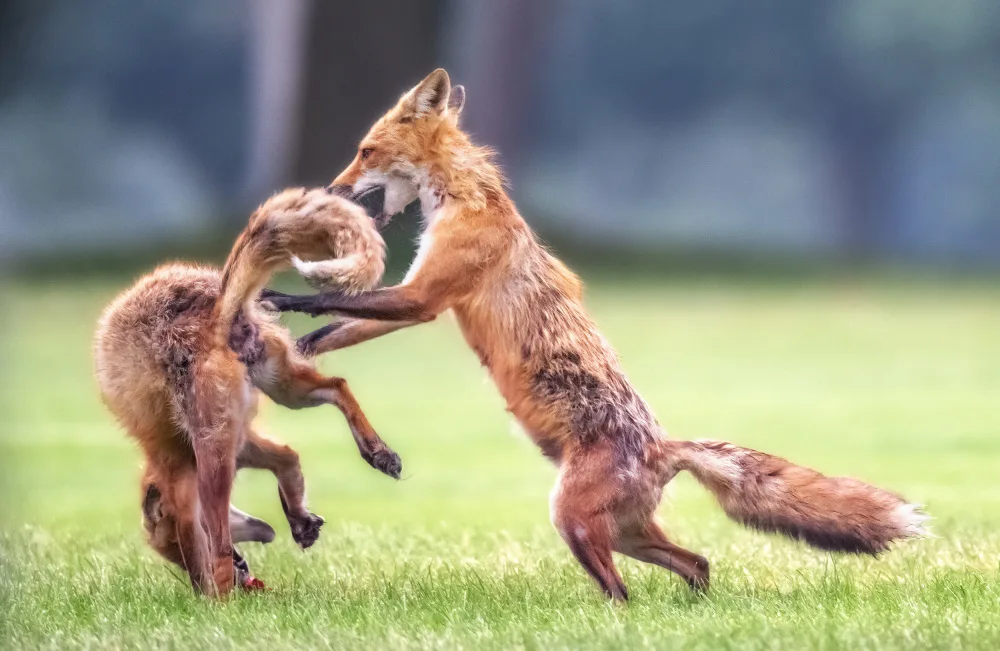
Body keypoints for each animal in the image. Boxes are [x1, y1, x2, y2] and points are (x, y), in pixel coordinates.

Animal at [94, 187, 401, 597]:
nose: (246, 572)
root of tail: (213, 309)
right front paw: (299, 518)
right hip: (284, 390)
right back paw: (378, 451)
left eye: (174, 552)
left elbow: (207, 547)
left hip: (213, 457)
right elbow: (289, 458)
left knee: (221, 543)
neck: (163, 452)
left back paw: (222, 598)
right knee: (338, 385)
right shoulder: (245, 444)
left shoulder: (189, 481)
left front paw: (206, 593)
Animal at [260, 69, 929, 601]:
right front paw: (300, 352)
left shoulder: (426, 296)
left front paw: (283, 300)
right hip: (626, 532)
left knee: (624, 593)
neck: (463, 197)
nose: (332, 190)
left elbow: (333, 300)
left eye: (366, 151)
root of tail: (663, 448)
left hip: (574, 522)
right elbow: (339, 331)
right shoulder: (420, 299)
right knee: (698, 563)